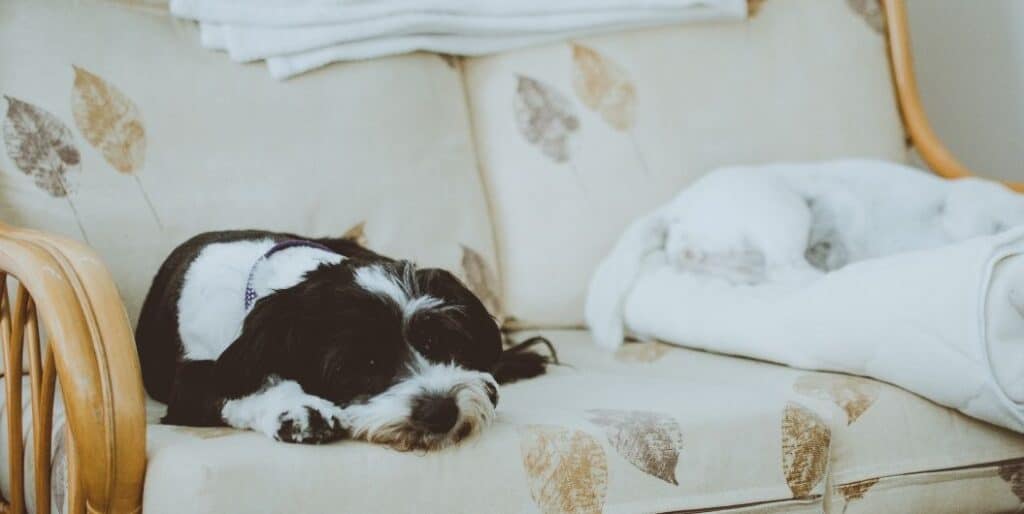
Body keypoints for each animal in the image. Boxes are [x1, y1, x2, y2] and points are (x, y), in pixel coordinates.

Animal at [140, 230, 548, 450]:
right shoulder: (189, 385)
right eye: (361, 364)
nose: (441, 412)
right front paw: (296, 407)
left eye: (438, 343)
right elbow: (237, 387)